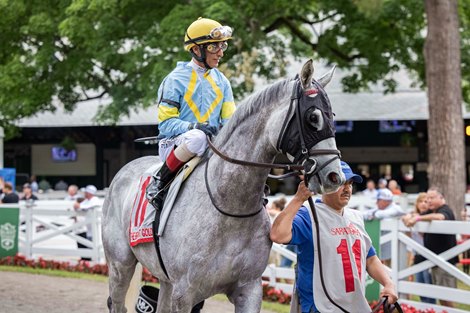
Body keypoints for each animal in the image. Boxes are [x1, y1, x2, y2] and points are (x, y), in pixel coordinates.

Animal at [102, 59, 346, 312]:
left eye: (332, 116)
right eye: (313, 118)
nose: (334, 177)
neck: (230, 206)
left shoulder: (249, 289)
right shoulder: (185, 292)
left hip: (165, 279)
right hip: (120, 264)